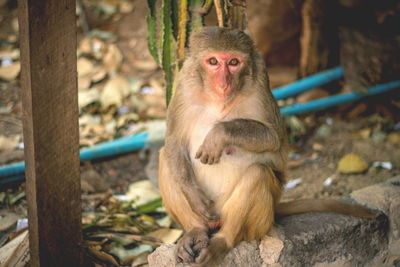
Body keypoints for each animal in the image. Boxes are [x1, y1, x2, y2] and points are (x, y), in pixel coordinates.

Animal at [157, 26, 376, 266]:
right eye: (213, 61)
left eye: (234, 62)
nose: (224, 83)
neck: (220, 100)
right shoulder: (183, 86)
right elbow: (174, 142)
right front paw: (194, 197)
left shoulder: (261, 82)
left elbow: (275, 139)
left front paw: (218, 134)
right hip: (213, 215)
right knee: (165, 158)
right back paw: (195, 231)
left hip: (259, 222)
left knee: (257, 173)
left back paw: (223, 241)